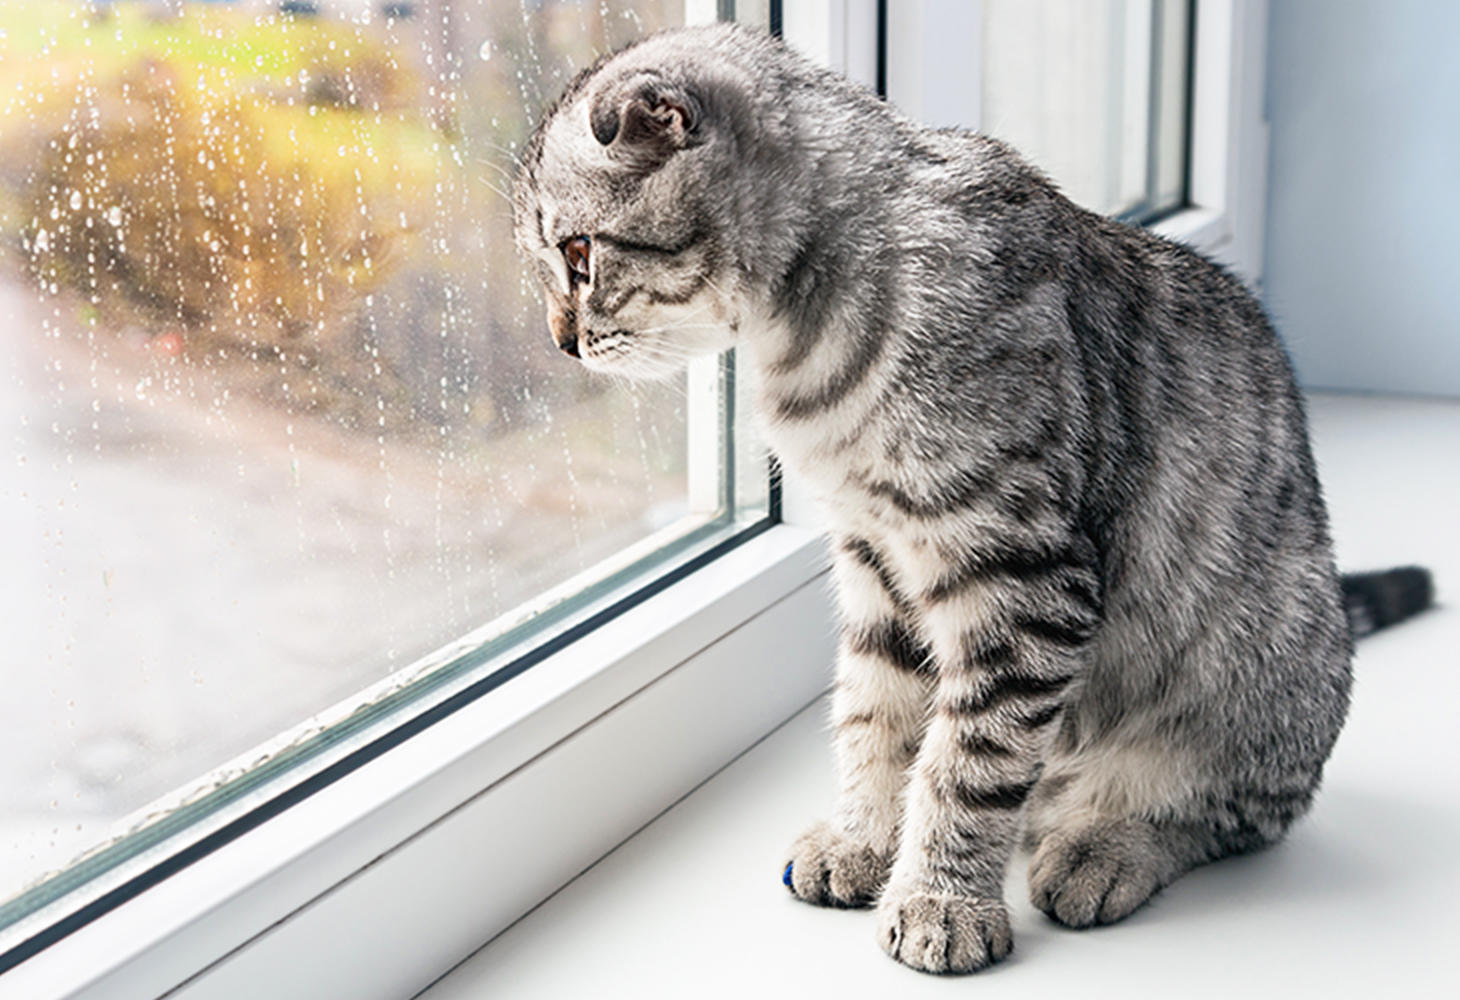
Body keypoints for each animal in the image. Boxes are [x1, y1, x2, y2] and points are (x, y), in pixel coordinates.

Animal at [508, 25, 1430, 975]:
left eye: (578, 254)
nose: (561, 341)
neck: (807, 346)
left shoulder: (1021, 575)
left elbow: (969, 758)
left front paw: (942, 898)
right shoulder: (876, 558)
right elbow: (877, 713)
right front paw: (866, 837)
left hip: (1262, 665)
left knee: (1223, 808)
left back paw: (1106, 842)